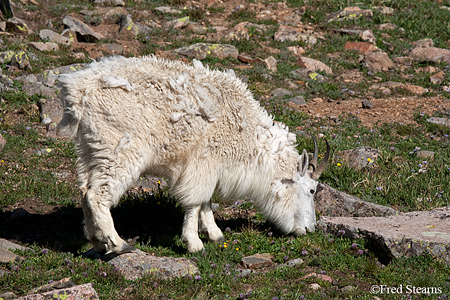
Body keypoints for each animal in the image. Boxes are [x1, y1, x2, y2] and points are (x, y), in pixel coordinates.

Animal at [58, 54, 328, 253]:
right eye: (312, 190)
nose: (310, 229)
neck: (246, 134)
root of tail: (78, 91)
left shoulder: (209, 168)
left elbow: (206, 200)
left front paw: (215, 234)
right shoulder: (203, 162)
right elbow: (195, 201)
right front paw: (194, 243)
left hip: (90, 149)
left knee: (84, 190)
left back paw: (96, 240)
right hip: (119, 150)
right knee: (97, 195)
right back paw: (117, 243)